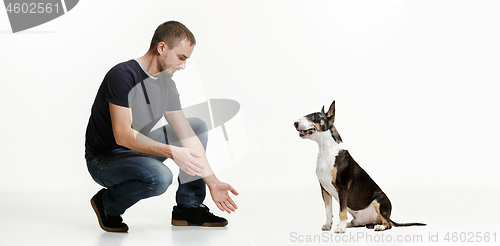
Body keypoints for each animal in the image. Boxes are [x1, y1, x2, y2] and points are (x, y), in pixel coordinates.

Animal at [292, 101, 426, 234]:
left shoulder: (342, 187)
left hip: (380, 201)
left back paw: (377, 226)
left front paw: (341, 228)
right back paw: (350, 224)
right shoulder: (324, 189)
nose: (295, 123)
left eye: (315, 116)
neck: (327, 150)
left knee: (388, 224)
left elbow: (342, 210)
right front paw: (328, 226)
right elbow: (328, 210)